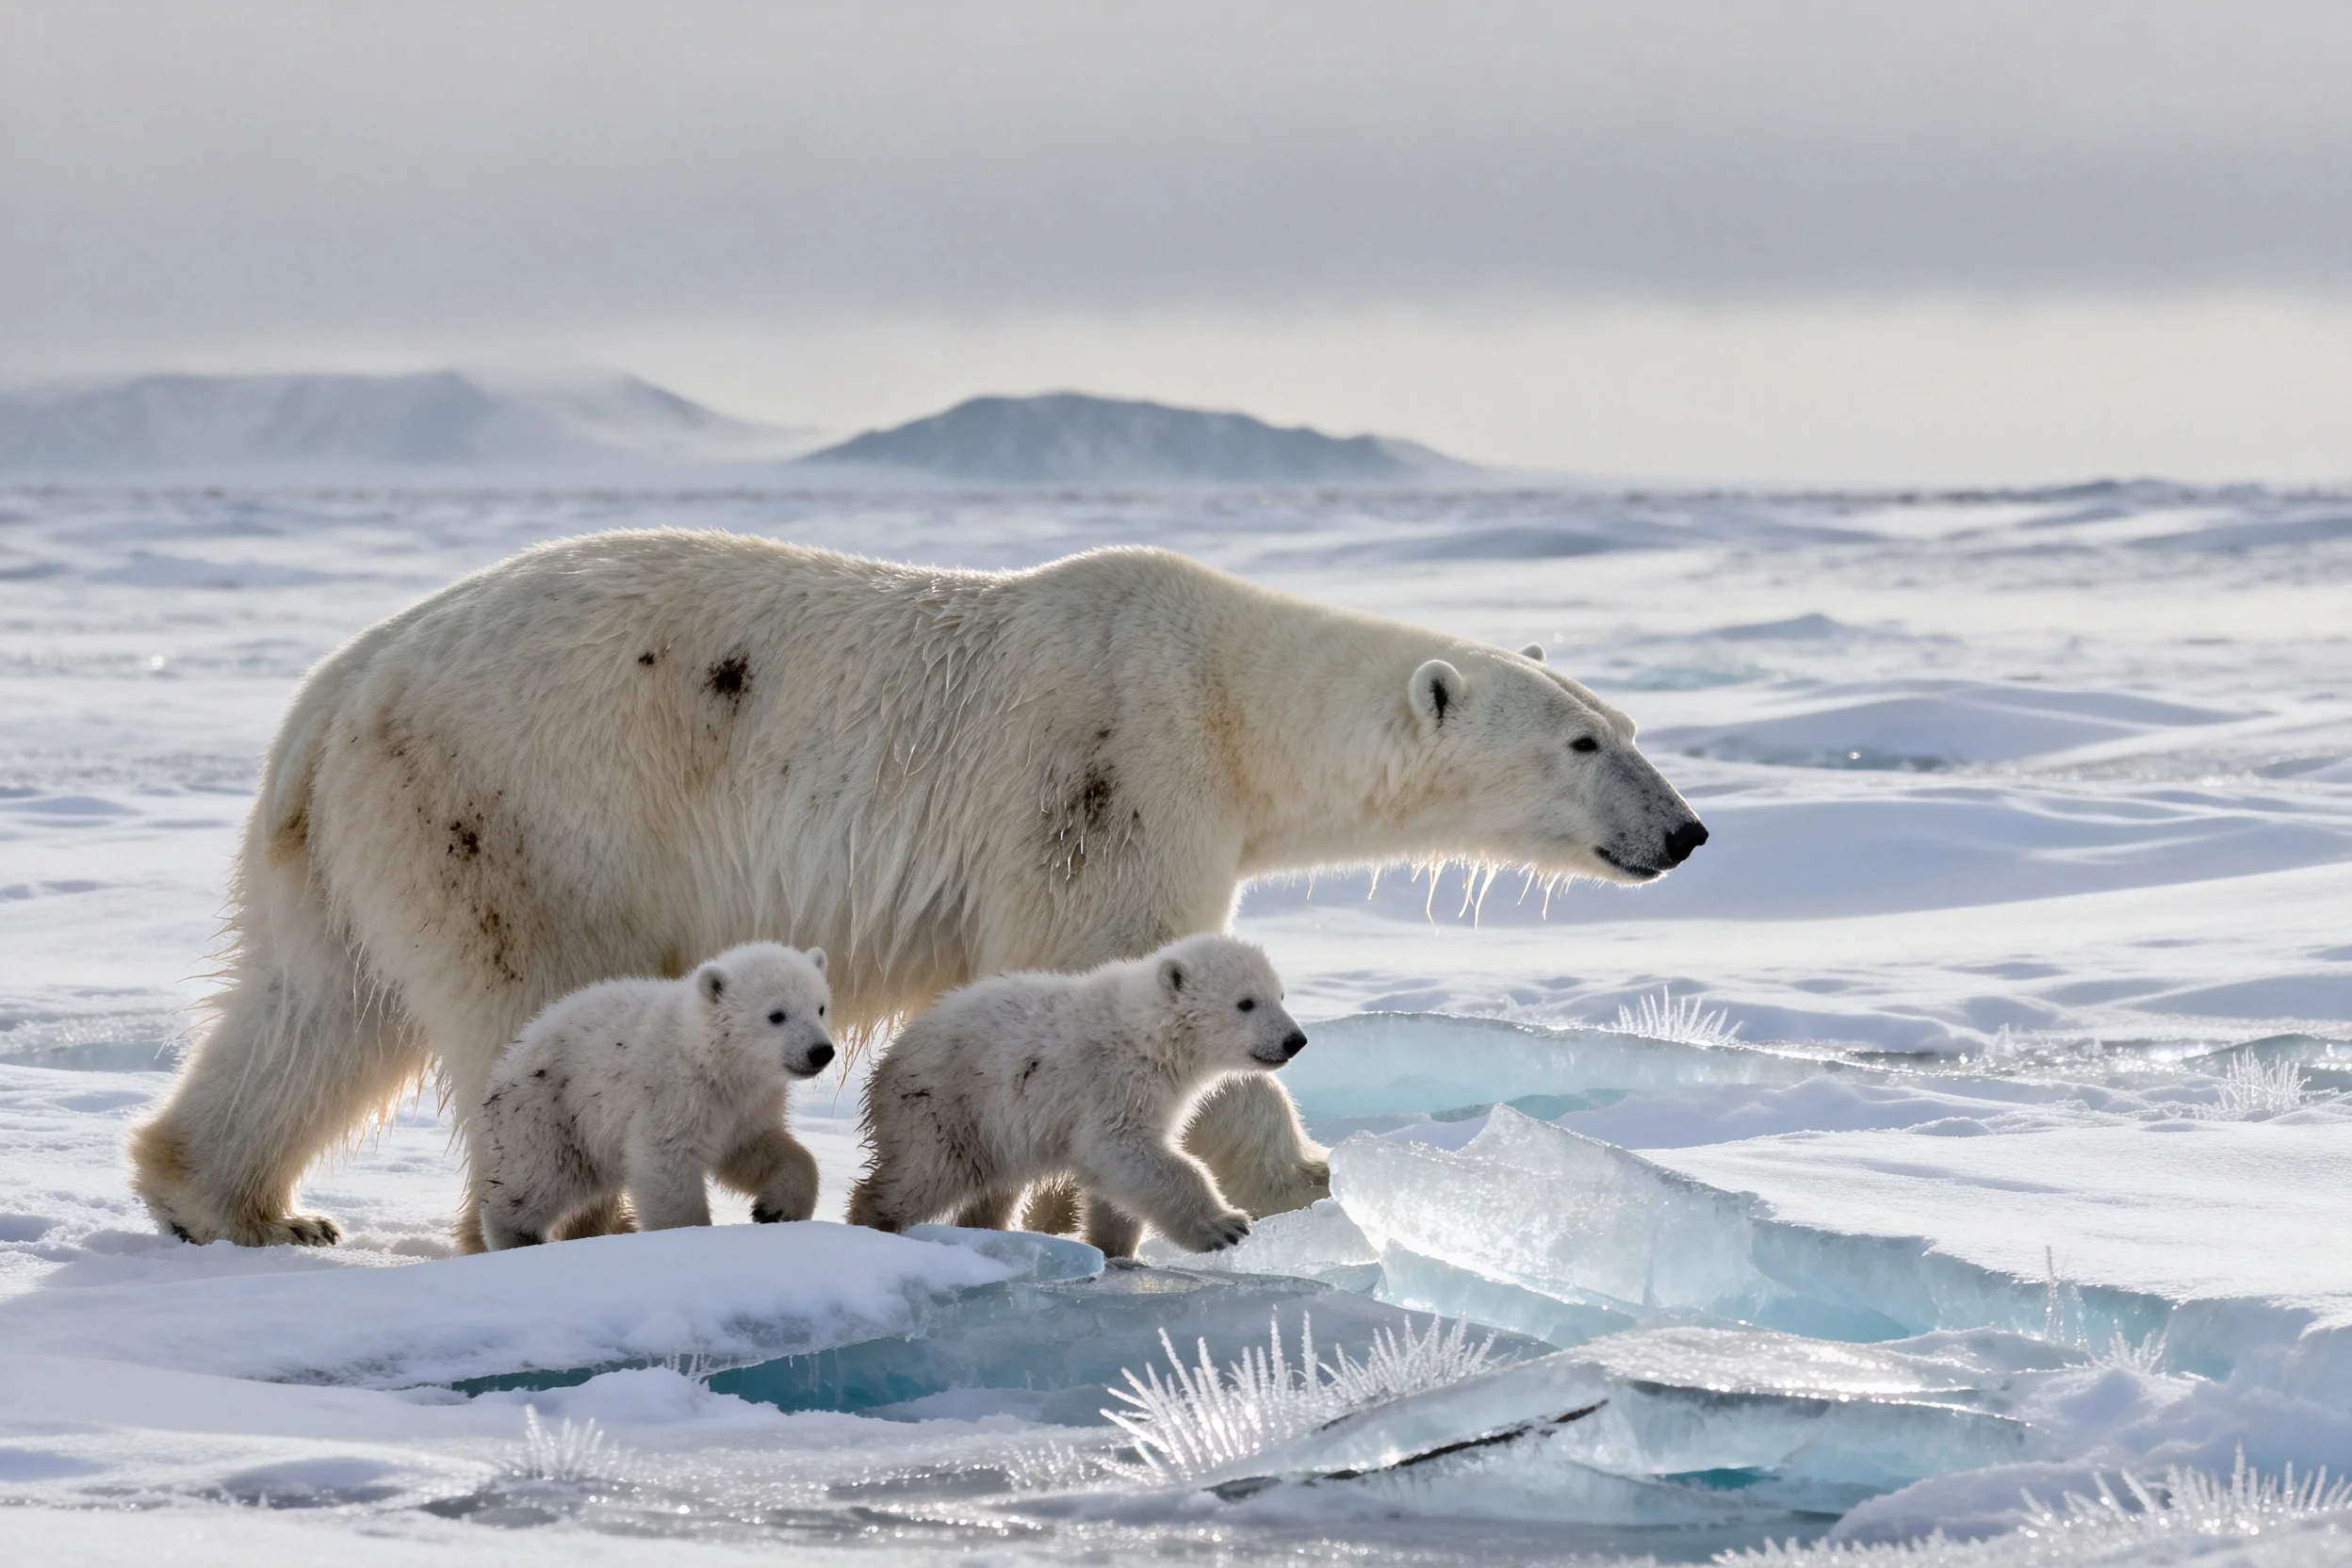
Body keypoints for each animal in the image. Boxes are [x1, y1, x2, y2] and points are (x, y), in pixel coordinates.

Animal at [473, 942, 835, 1249]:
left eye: (820, 1008)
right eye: (777, 1015)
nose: (821, 1051)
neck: (708, 1054)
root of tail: (509, 1057)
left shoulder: (747, 1106)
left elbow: (755, 1151)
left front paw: (775, 1209)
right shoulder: (674, 1093)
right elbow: (665, 1163)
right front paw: (688, 1235)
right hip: (552, 1110)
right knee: (542, 1179)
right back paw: (517, 1236)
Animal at [848, 933, 1306, 1258]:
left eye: (1281, 995)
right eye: (1245, 1002)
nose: (1295, 1040)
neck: (1151, 1033)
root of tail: (890, 1058)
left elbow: (1119, 1176)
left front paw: (1117, 1249)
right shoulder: (1115, 1080)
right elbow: (1118, 1148)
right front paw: (1226, 1225)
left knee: (995, 1189)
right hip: (945, 1103)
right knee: (925, 1173)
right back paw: (873, 1222)